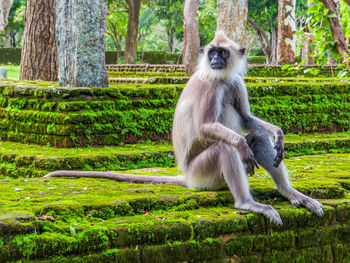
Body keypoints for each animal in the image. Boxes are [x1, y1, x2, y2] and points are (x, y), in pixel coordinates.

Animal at [43, 31, 322, 225]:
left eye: (222, 53)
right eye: (212, 53)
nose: (215, 59)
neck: (220, 77)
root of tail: (186, 177)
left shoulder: (235, 82)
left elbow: (245, 119)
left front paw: (279, 134)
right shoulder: (211, 84)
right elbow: (206, 128)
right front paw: (242, 144)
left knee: (257, 140)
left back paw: (291, 193)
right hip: (203, 175)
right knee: (226, 148)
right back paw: (247, 203)